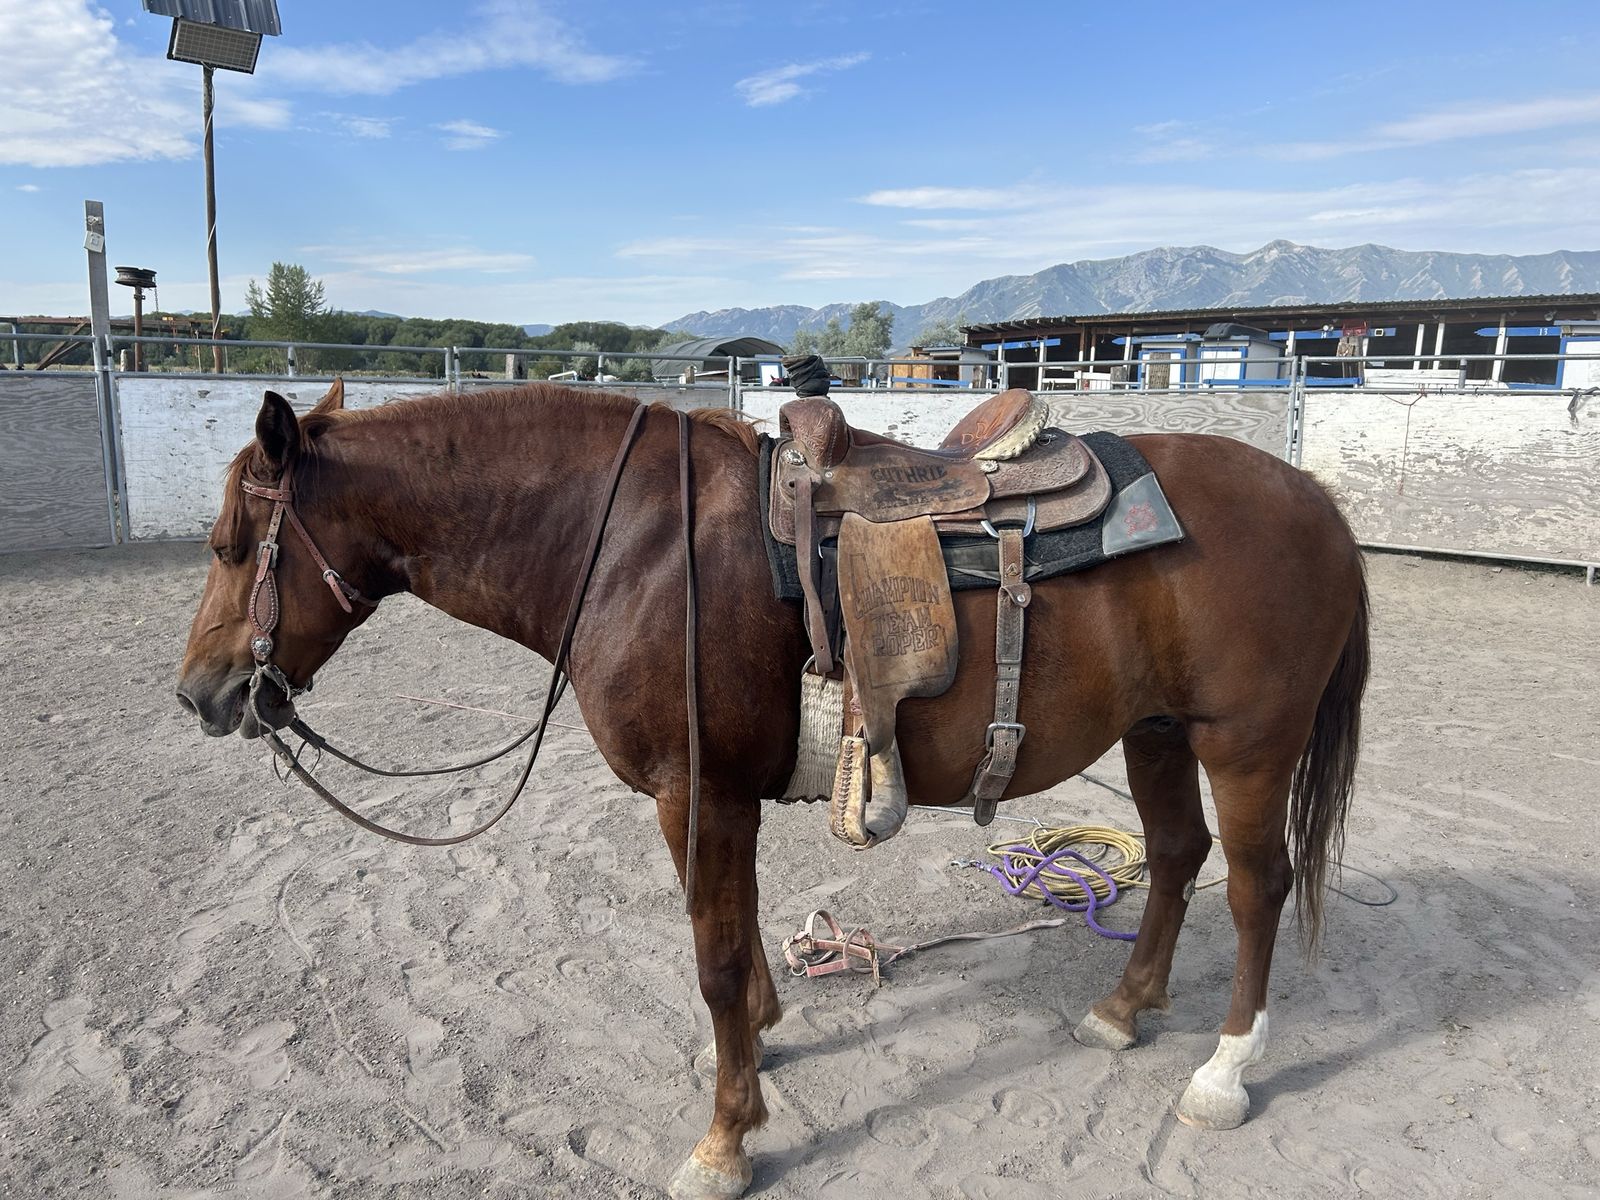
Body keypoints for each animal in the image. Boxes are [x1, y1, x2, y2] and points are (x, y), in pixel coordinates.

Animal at [176, 378, 1368, 1199]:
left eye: (232, 544)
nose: (200, 695)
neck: (631, 545)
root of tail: (1309, 495)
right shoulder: (712, 800)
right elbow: (739, 935)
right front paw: (762, 1036)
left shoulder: (697, 792)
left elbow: (709, 959)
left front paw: (722, 1139)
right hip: (1157, 735)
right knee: (1174, 858)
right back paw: (1124, 1011)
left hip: (1246, 745)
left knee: (1256, 886)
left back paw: (1223, 1072)